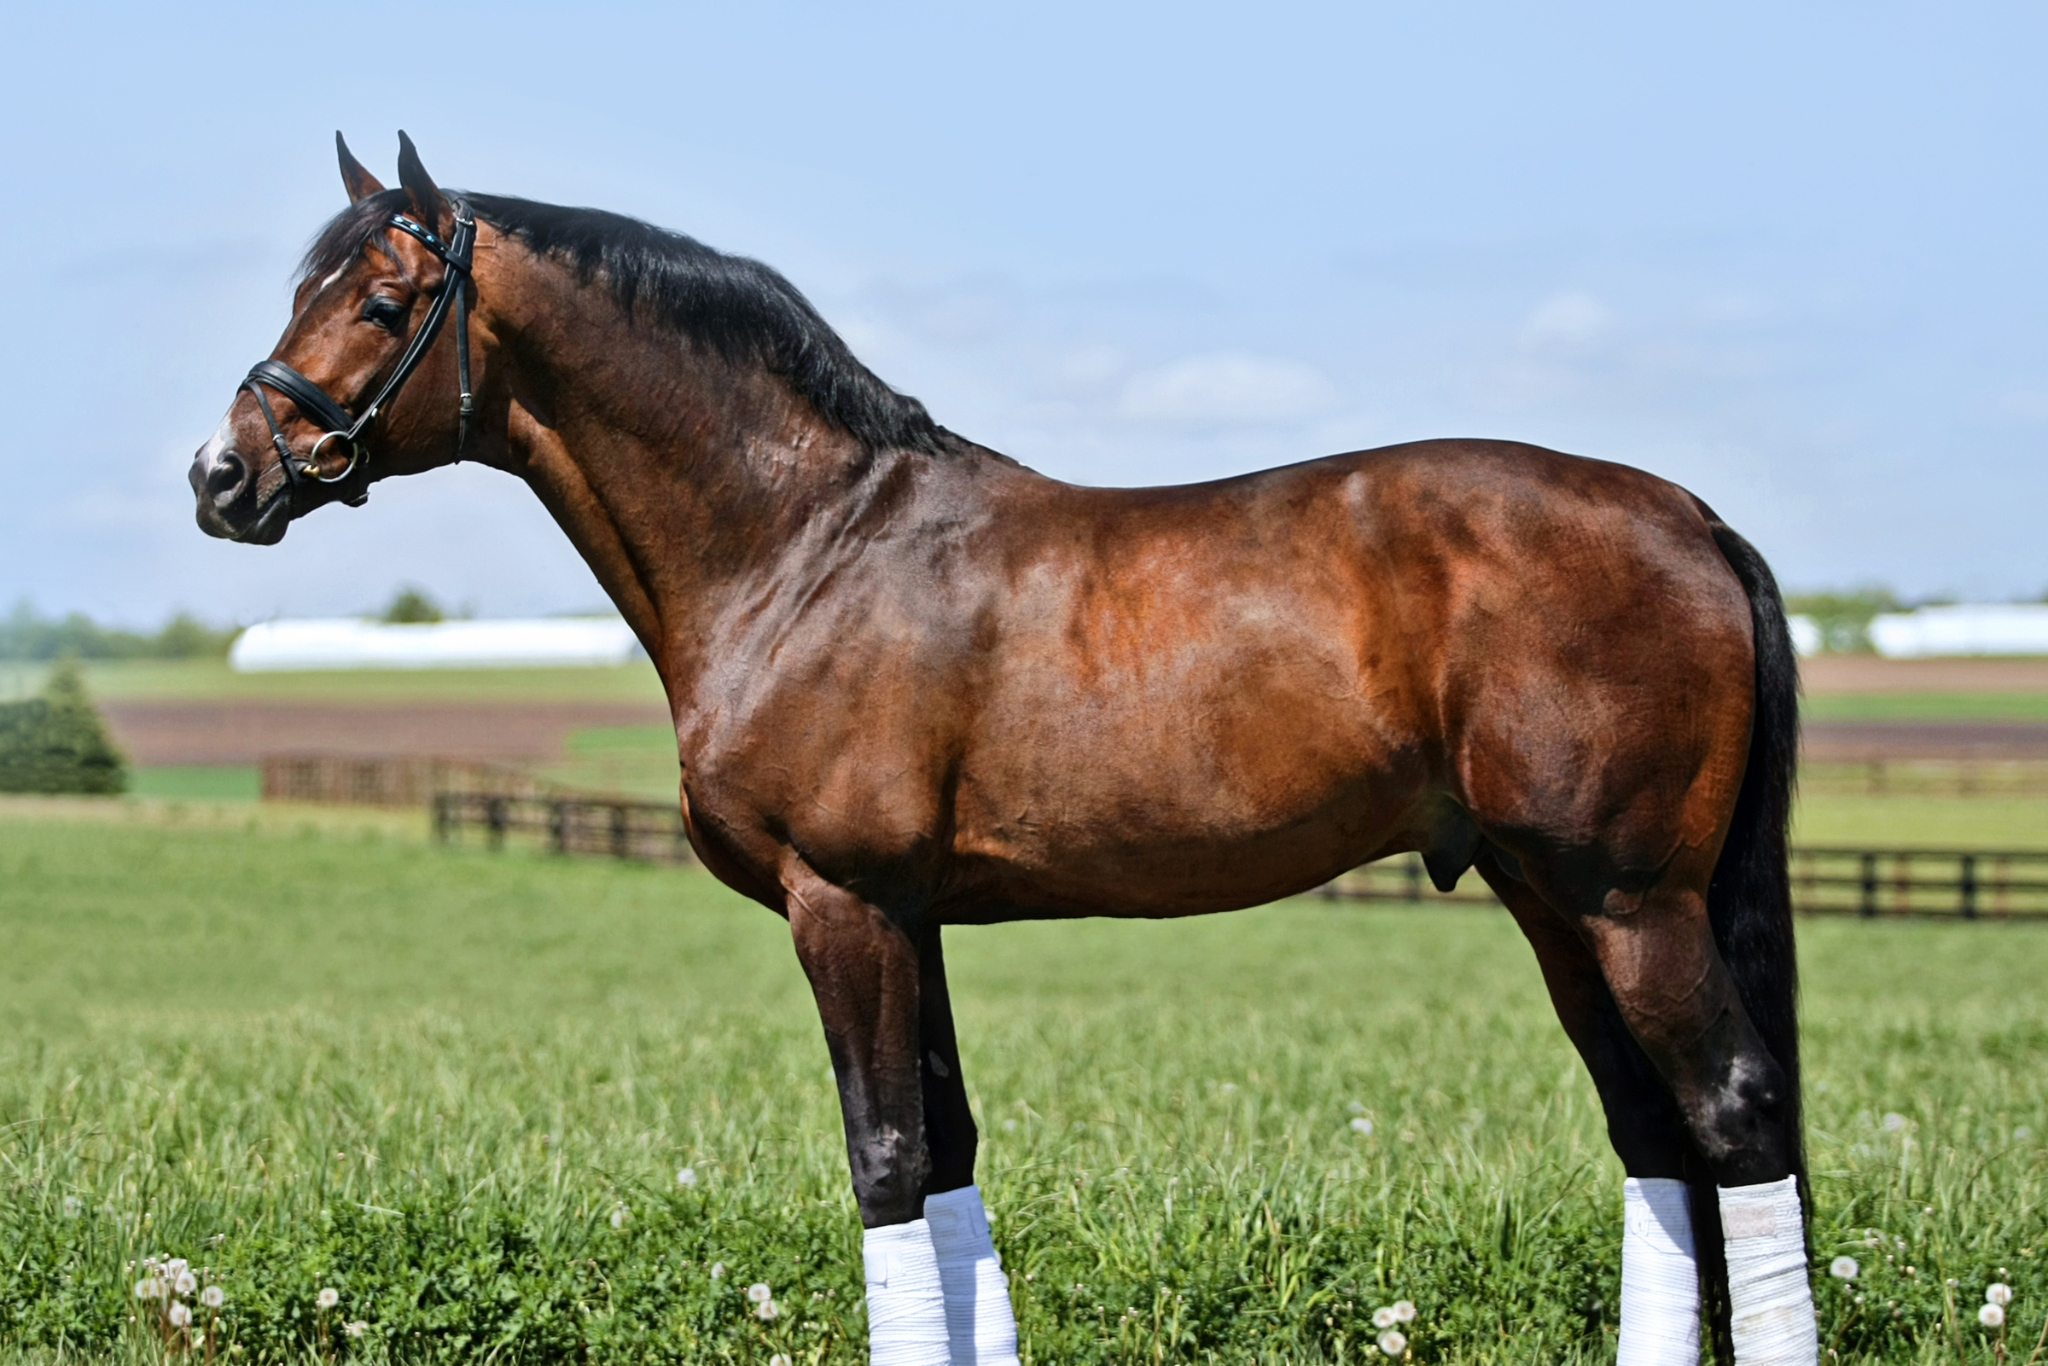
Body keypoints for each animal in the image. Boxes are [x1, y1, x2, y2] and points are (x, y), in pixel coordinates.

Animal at [189, 133, 1816, 1366]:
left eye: (387, 299)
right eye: (306, 285)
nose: (224, 474)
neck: (808, 544)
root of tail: (1688, 516)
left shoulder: (842, 904)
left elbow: (888, 1164)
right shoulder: (911, 913)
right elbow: (953, 1157)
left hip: (1629, 902)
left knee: (1735, 1117)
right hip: (1553, 900)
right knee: (1654, 1133)